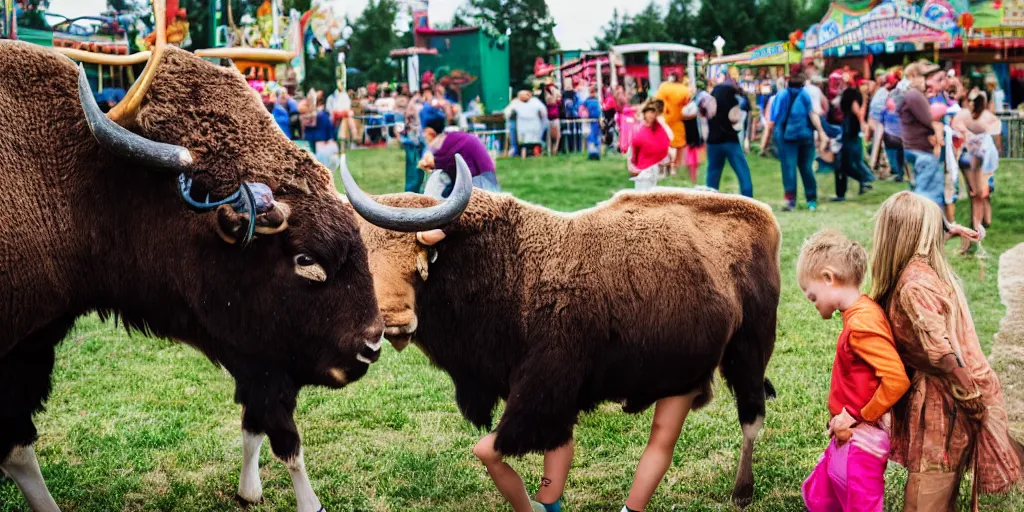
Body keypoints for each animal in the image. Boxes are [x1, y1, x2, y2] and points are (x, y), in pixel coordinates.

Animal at [344, 164, 782, 507]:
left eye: (424, 258)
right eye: (361, 265)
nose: (395, 321)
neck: (512, 265)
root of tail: (760, 213)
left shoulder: (541, 396)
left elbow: (493, 449)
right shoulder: (553, 401)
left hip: (750, 352)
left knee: (751, 418)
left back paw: (742, 492)